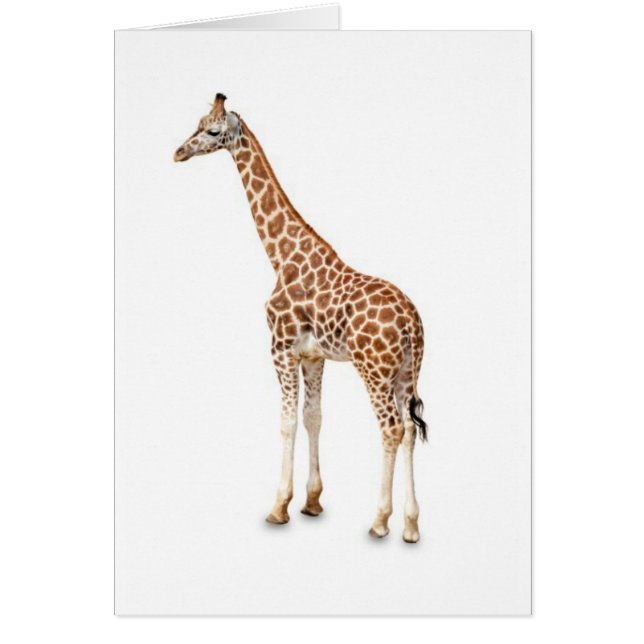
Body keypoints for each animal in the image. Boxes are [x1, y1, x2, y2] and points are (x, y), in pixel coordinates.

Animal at [174, 94, 427, 543]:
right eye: (198, 122)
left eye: (213, 130)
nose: (178, 152)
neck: (282, 256)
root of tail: (412, 322)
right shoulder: (313, 356)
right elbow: (314, 418)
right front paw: (311, 502)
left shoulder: (280, 348)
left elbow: (287, 421)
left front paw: (278, 507)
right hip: (406, 372)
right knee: (411, 430)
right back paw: (411, 526)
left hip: (374, 370)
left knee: (392, 429)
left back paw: (380, 521)